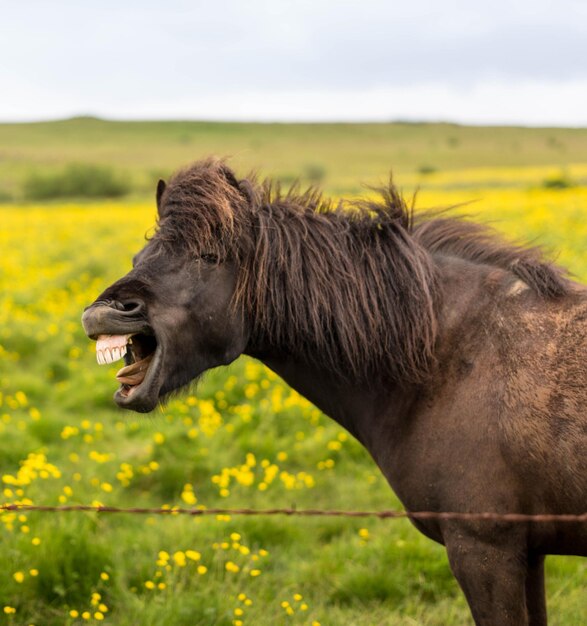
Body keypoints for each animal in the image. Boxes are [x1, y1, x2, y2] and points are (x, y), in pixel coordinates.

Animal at [82, 160, 587, 624]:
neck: (444, 355)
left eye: (207, 256)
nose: (104, 312)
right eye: (138, 257)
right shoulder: (528, 551)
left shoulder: (484, 548)